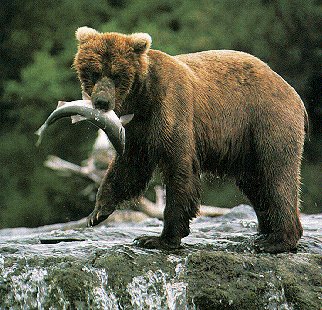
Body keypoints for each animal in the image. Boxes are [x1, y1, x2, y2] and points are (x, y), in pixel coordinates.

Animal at [73, 26, 306, 253]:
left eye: (117, 75)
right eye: (94, 73)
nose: (101, 101)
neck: (141, 99)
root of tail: (291, 90)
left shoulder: (171, 108)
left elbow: (179, 168)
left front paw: (159, 238)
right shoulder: (137, 130)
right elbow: (129, 166)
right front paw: (98, 212)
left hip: (265, 119)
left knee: (276, 174)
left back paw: (278, 240)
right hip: (245, 146)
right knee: (255, 182)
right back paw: (265, 232)